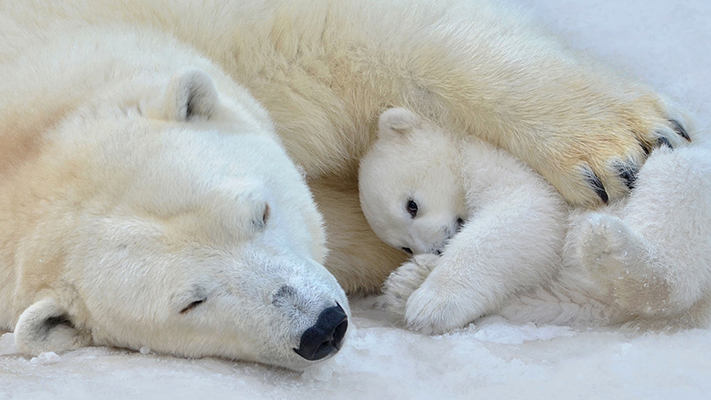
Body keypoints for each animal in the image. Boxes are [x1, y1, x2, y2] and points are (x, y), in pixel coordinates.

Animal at [362, 108, 711, 334]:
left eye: (411, 206)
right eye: (404, 247)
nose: (436, 248)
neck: (464, 142)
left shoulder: (498, 161)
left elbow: (529, 212)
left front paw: (430, 304)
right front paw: (406, 282)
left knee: (678, 177)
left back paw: (610, 246)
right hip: (580, 298)